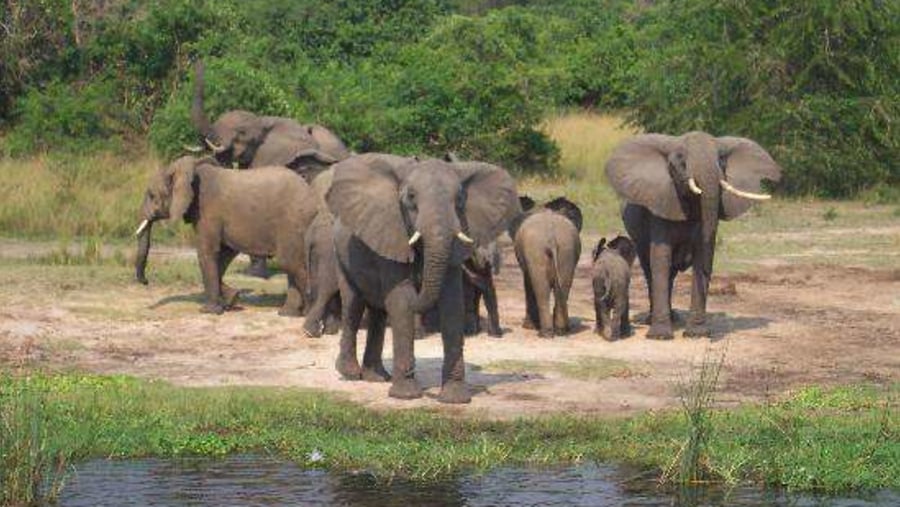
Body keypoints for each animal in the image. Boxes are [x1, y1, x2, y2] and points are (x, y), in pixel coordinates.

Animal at [132, 157, 318, 316]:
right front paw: (232, 299)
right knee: (291, 265)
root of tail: (310, 193)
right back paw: (287, 314)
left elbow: (207, 252)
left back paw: (308, 313)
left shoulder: (207, 211)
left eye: (151, 195)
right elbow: (224, 254)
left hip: (293, 223)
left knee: (290, 262)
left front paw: (209, 311)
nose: (146, 281)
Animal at [328, 153, 520, 402]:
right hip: (341, 255)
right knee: (353, 304)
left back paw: (377, 377)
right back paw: (350, 374)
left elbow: (451, 303)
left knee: (379, 312)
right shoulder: (393, 233)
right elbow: (400, 299)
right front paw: (406, 396)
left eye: (460, 199)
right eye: (410, 197)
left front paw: (454, 398)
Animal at [512, 196, 584, 340]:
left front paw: (528, 326)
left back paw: (544, 333)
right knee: (563, 289)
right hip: (566, 250)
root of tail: (552, 238)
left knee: (541, 290)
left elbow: (528, 283)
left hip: (536, 251)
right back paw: (560, 331)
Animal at [604, 131, 780, 340]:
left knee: (671, 273)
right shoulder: (662, 202)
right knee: (650, 267)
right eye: (681, 160)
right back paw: (651, 320)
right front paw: (660, 336)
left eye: (721, 160)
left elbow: (703, 254)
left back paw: (674, 318)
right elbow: (661, 258)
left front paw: (696, 334)